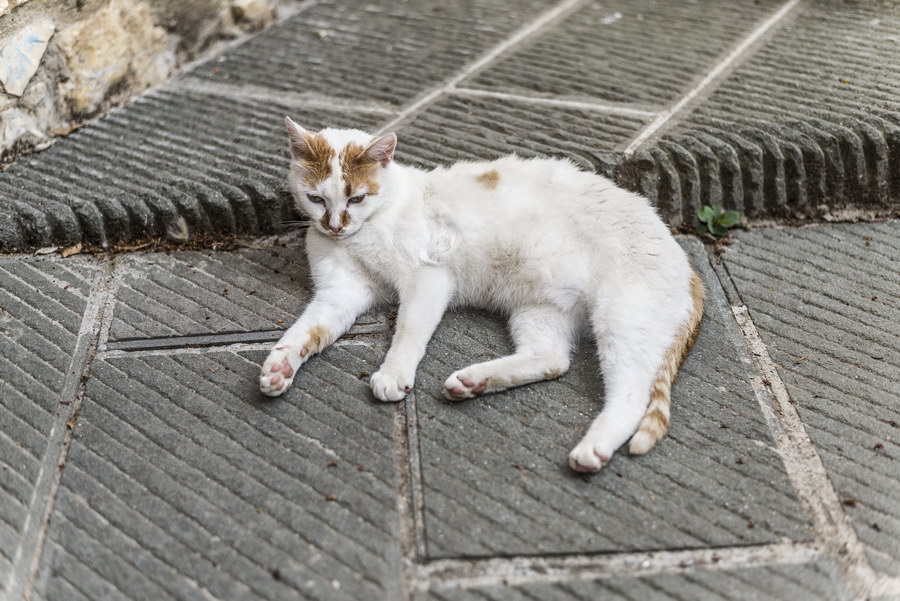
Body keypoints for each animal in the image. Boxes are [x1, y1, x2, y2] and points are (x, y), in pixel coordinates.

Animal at [256, 117, 708, 472]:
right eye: (316, 198)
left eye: (357, 197)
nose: (334, 225)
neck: (366, 228)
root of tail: (685, 261)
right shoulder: (340, 292)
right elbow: (305, 331)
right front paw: (280, 366)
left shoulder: (429, 278)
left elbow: (408, 332)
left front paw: (394, 373)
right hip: (538, 311)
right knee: (552, 360)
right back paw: (474, 381)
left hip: (622, 319)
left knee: (631, 396)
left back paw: (593, 448)